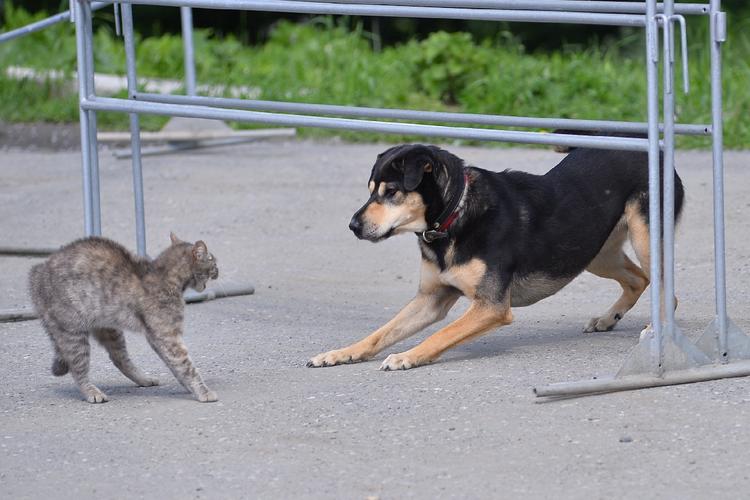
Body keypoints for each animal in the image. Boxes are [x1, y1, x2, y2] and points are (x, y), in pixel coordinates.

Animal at [32, 233, 220, 402]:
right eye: (212, 259)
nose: (218, 268)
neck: (165, 278)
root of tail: (37, 272)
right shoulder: (168, 337)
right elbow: (187, 366)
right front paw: (203, 392)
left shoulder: (158, 337)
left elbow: (176, 367)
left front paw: (188, 388)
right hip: (73, 334)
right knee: (78, 369)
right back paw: (92, 392)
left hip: (110, 329)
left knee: (119, 358)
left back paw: (143, 379)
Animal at [308, 143, 684, 370]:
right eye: (371, 191)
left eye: (392, 192)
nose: (353, 226)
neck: (454, 215)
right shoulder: (431, 298)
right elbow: (380, 333)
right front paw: (340, 353)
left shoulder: (491, 306)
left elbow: (440, 335)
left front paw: (407, 356)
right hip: (591, 251)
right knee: (638, 279)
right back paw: (608, 319)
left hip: (644, 237)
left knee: (666, 289)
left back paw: (657, 328)